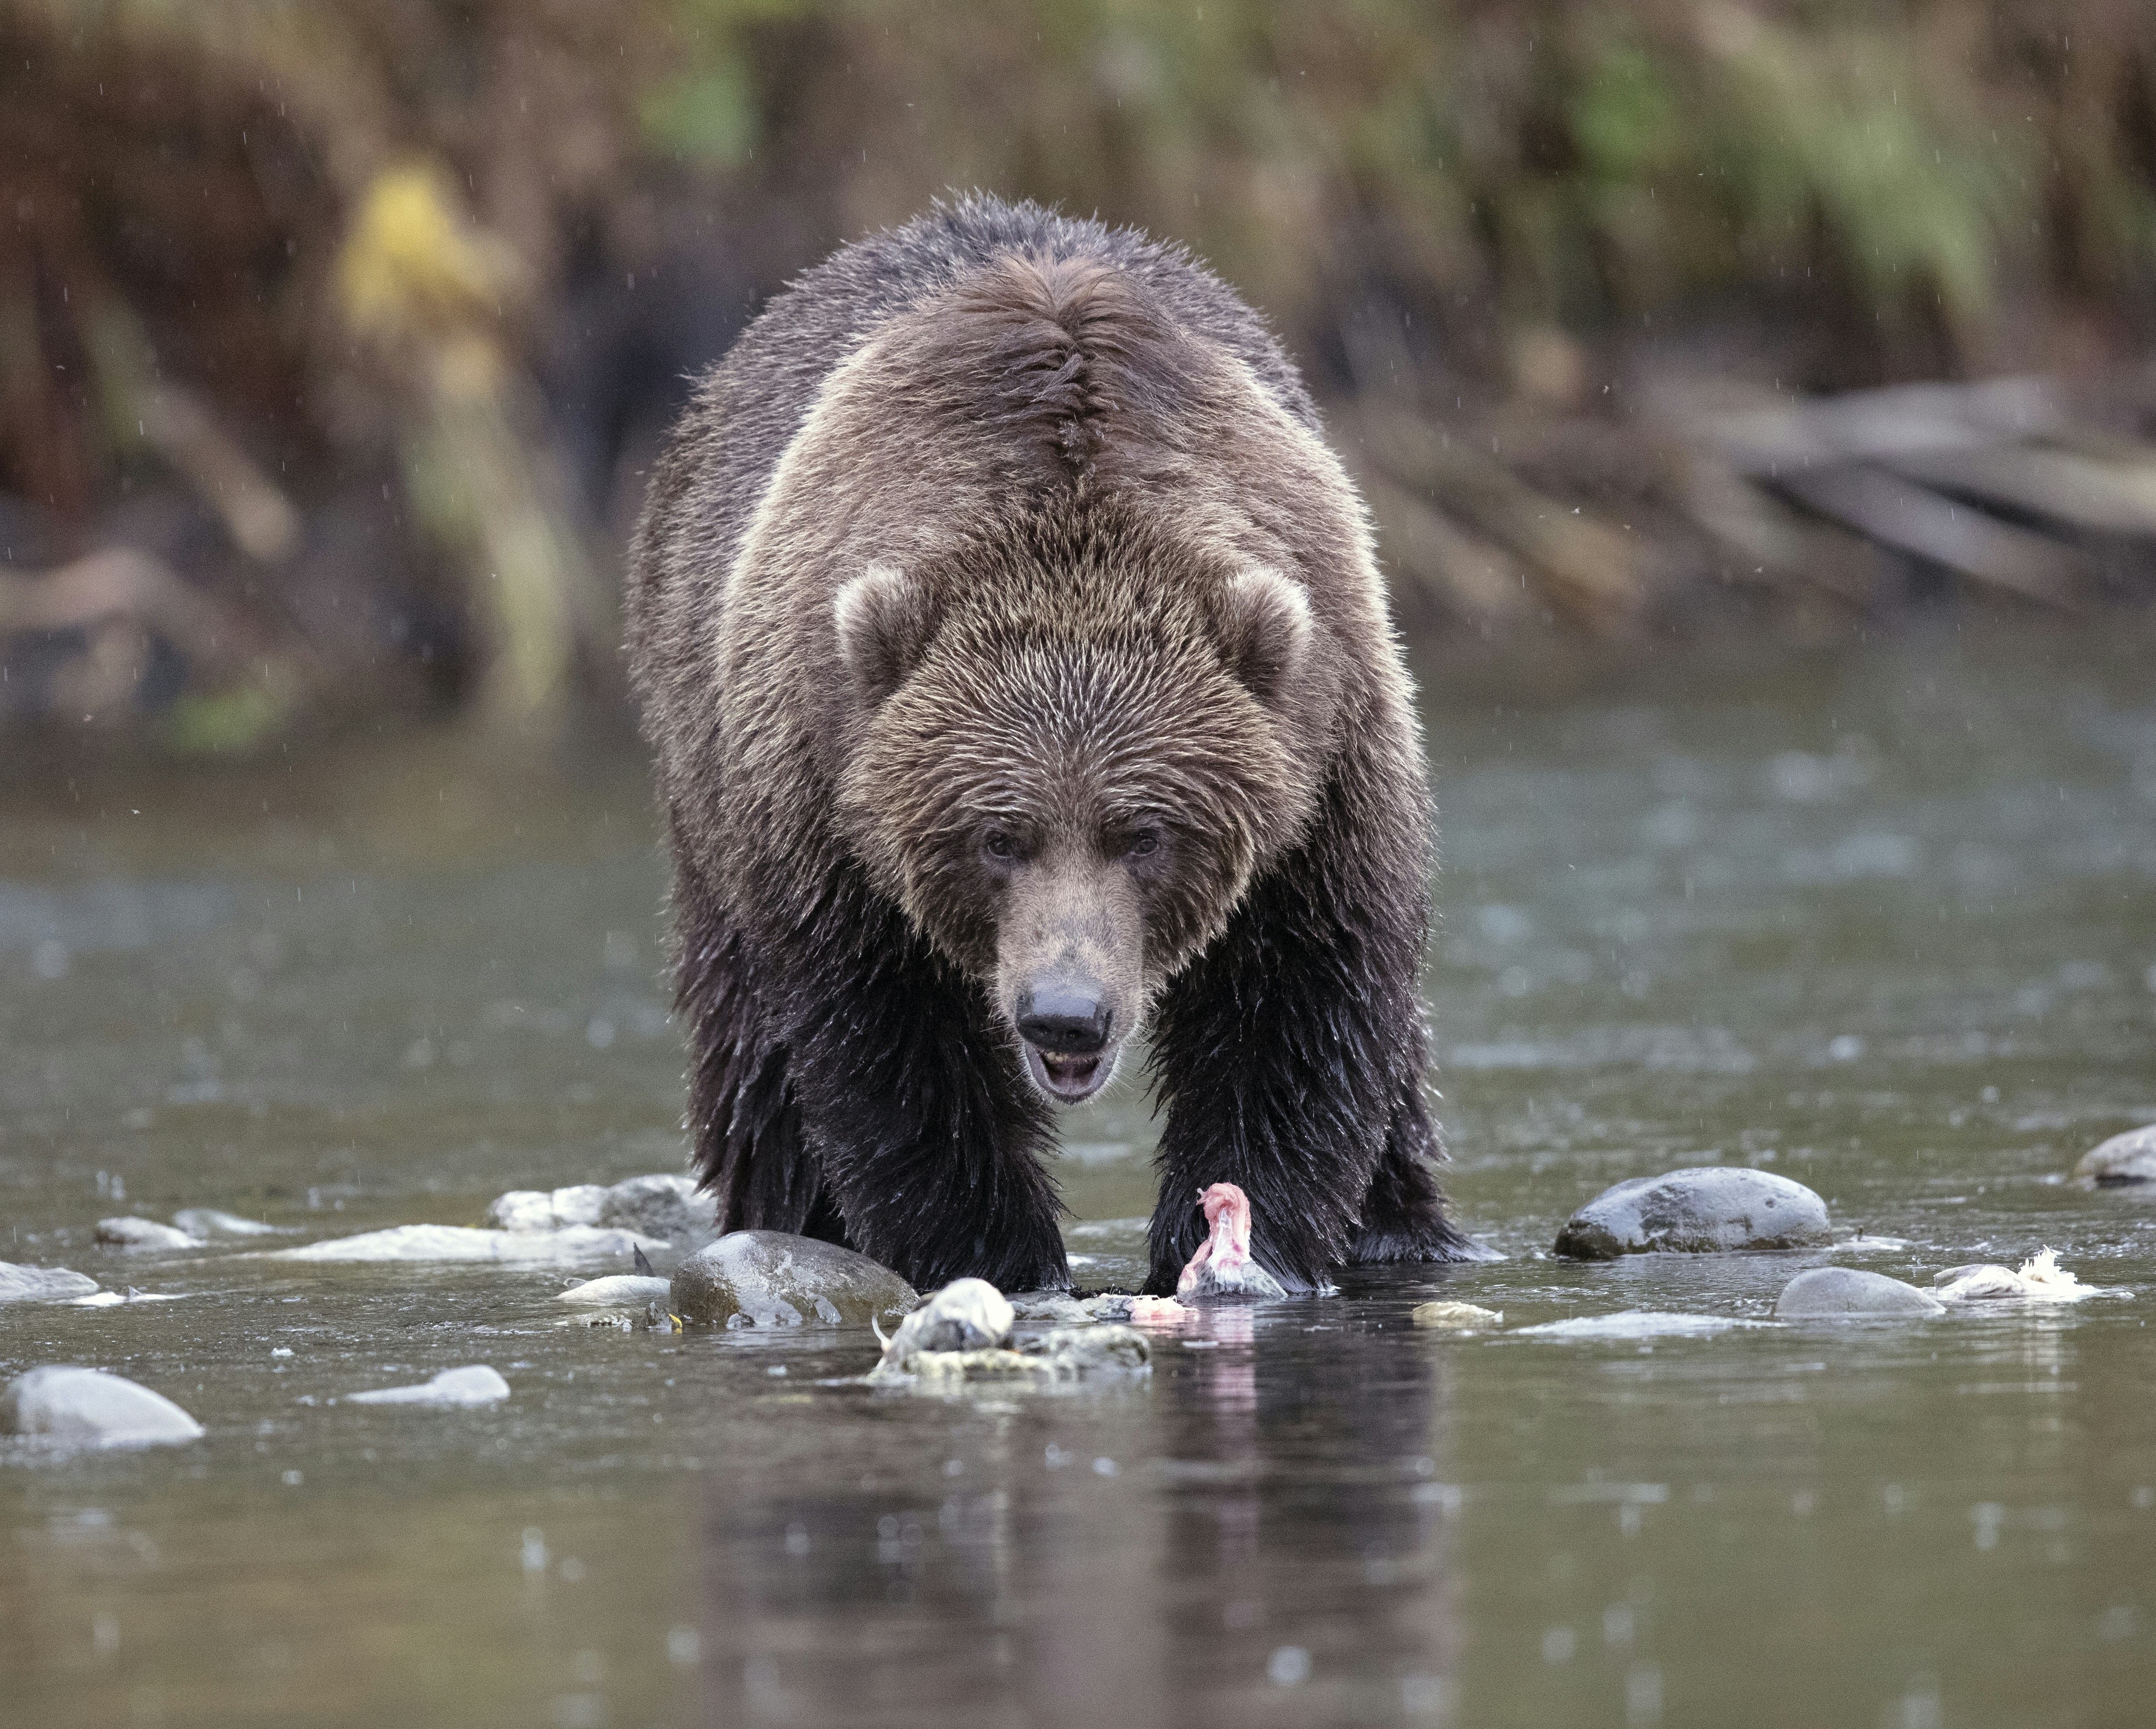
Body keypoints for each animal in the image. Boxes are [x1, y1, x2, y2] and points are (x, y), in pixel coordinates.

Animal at [626, 194, 1476, 1296]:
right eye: (998, 836)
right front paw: (997, 1252)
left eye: (1146, 833)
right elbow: (891, 1046)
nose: (1065, 1014)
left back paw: (1401, 1224)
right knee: (752, 1047)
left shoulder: (1322, 767)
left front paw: (1248, 1242)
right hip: (705, 773)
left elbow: (1298, 1006)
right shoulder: (824, 795)